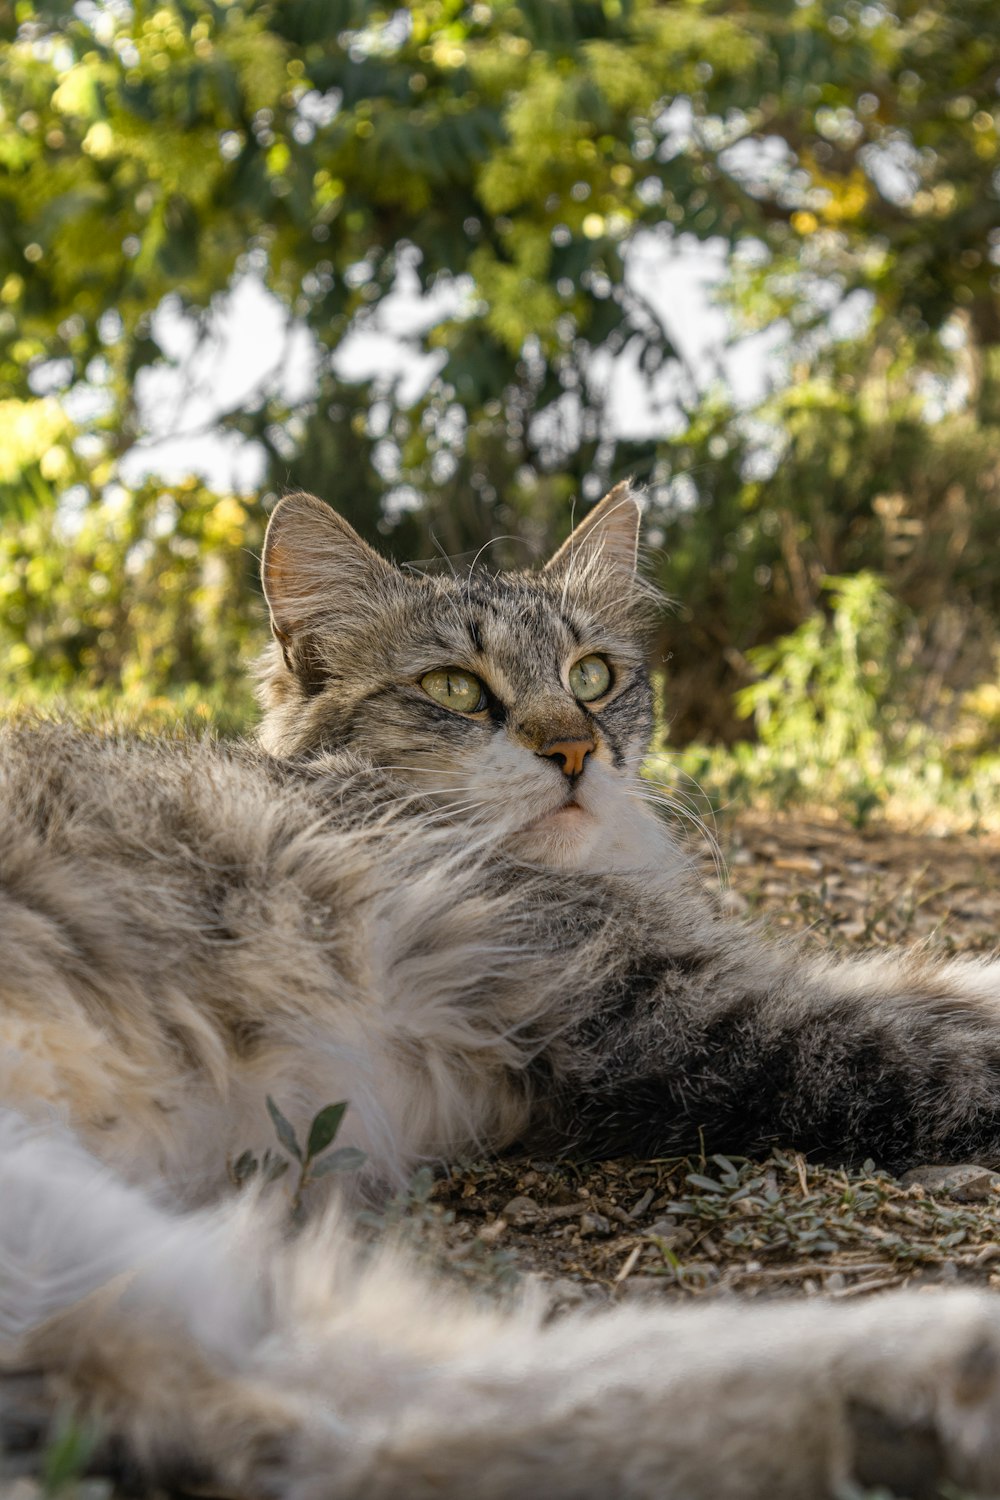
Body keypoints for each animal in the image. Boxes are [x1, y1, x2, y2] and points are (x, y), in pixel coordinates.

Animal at [1, 483, 1000, 1500]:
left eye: (592, 676)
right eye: (454, 689)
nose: (575, 751)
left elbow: (926, 979)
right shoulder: (692, 1011)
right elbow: (948, 1031)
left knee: (353, 1417)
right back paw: (944, 1364)